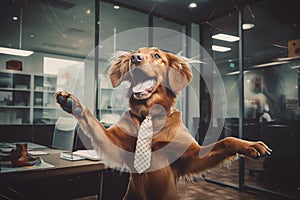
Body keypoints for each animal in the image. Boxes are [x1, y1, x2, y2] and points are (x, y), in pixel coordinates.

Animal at [54, 47, 272, 200]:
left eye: (157, 56)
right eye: (135, 53)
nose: (135, 58)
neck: (150, 115)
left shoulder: (191, 157)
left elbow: (226, 140)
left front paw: (251, 145)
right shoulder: (114, 143)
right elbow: (94, 122)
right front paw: (73, 102)